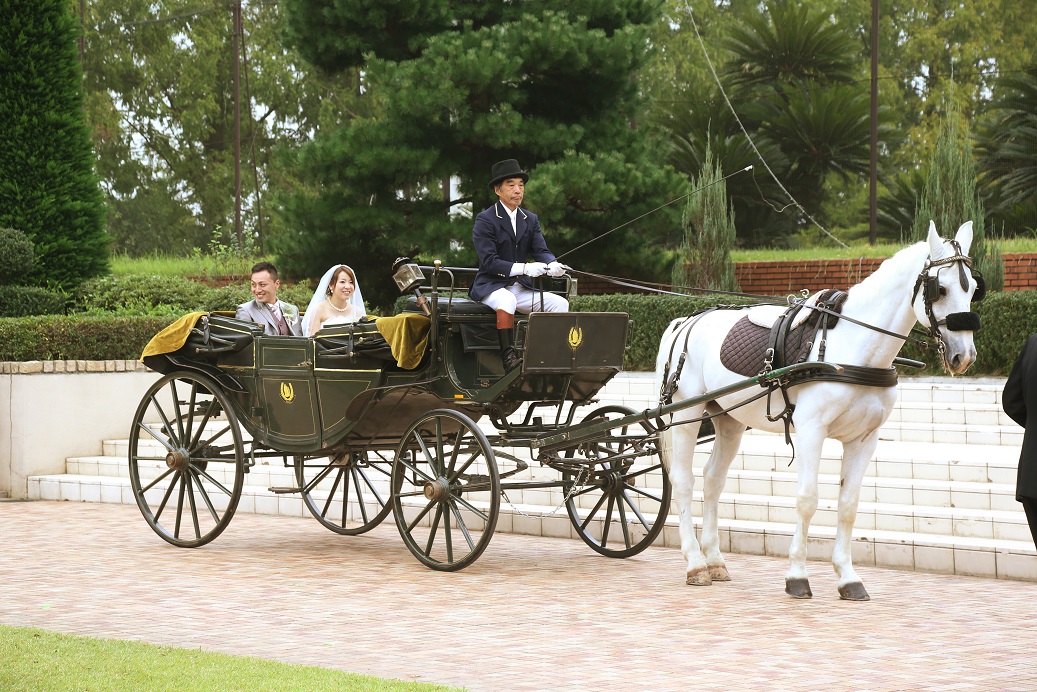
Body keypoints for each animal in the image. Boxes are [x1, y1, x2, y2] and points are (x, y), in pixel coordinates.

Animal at [655, 223, 978, 601]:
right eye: (939, 288)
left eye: (973, 287)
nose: (964, 355)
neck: (854, 348)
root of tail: (685, 322)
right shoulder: (811, 431)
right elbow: (807, 500)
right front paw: (797, 576)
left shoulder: (864, 439)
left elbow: (848, 505)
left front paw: (848, 578)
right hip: (686, 415)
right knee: (684, 481)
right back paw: (695, 563)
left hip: (729, 419)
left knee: (712, 480)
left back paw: (715, 560)